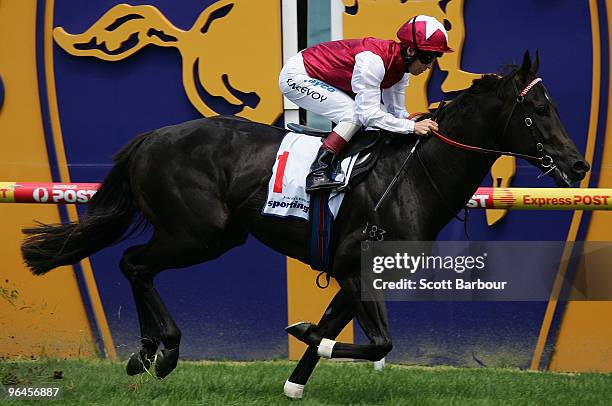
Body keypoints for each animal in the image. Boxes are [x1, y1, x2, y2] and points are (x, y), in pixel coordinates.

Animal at [22, 52, 588, 398]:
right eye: (539, 109)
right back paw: (161, 351)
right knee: (134, 263)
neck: (413, 175)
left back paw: (144, 354)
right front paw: (304, 333)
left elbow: (339, 329)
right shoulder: (355, 266)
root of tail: (152, 137)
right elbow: (378, 342)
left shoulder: (357, 273)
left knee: (136, 266)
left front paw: (298, 373)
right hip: (200, 233)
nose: (579, 166)